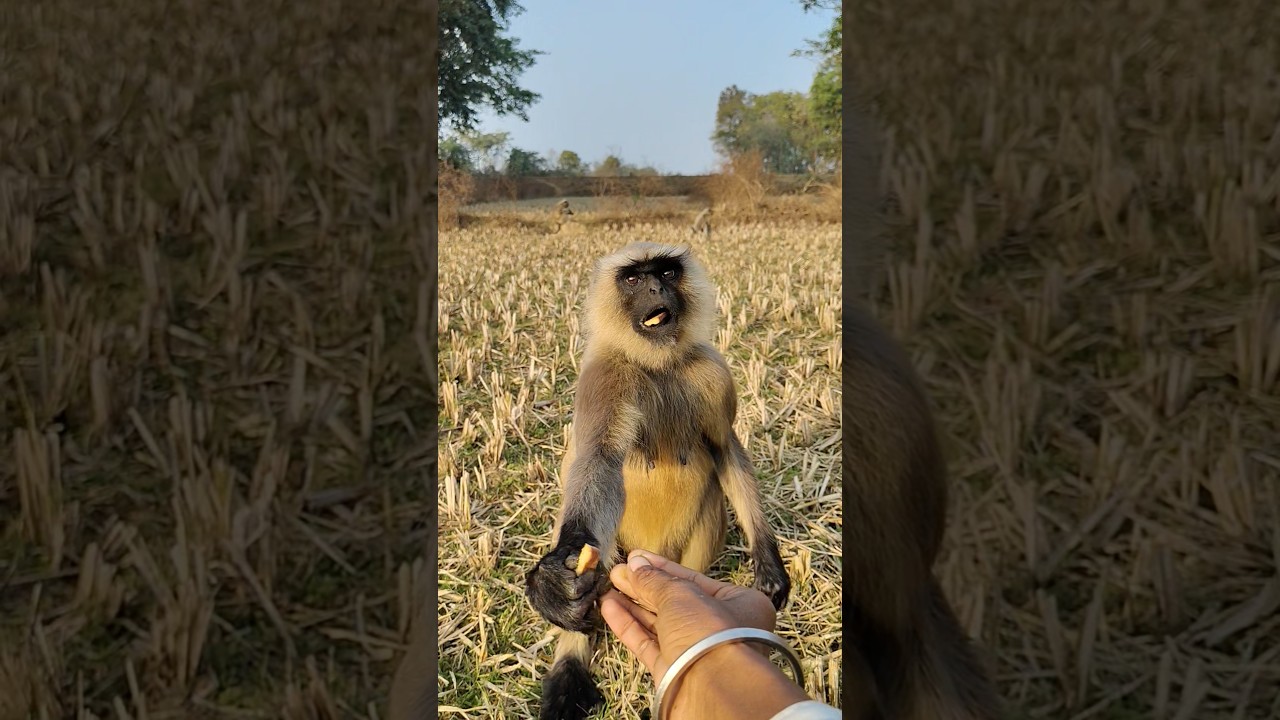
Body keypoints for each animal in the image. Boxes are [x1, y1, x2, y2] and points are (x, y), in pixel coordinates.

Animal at [524, 241, 791, 720]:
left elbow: (725, 448)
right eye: (633, 278)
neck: (658, 364)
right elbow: (596, 463)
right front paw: (552, 584)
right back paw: (569, 669)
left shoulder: (713, 372)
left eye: (666, 272)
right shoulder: (605, 376)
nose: (654, 288)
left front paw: (767, 559)